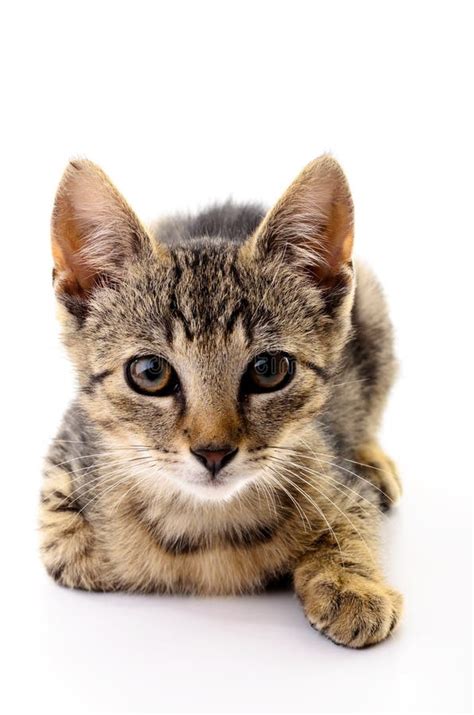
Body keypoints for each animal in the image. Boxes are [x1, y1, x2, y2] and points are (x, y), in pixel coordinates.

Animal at [41, 155, 404, 648]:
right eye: (150, 373)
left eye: (269, 369)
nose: (213, 452)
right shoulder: (66, 458)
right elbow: (68, 545)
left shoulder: (335, 467)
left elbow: (352, 519)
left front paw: (352, 583)